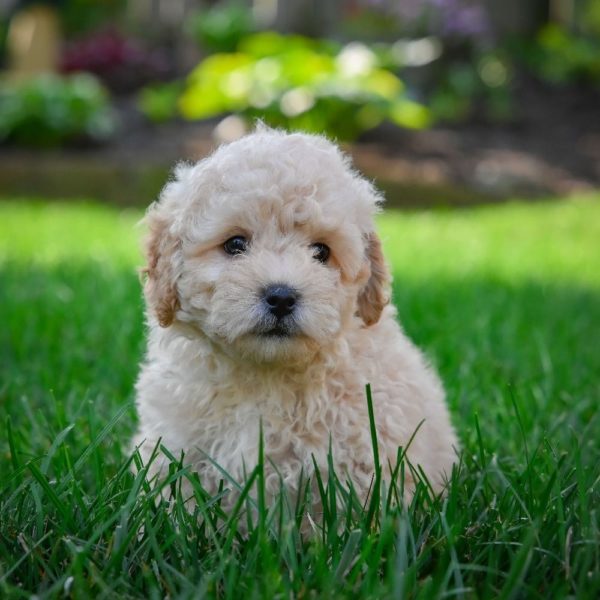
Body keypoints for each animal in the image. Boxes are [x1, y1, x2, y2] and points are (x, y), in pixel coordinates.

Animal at [132, 127, 460, 516]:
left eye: (321, 252)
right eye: (235, 244)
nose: (281, 297)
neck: (266, 374)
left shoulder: (367, 463)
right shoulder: (176, 449)